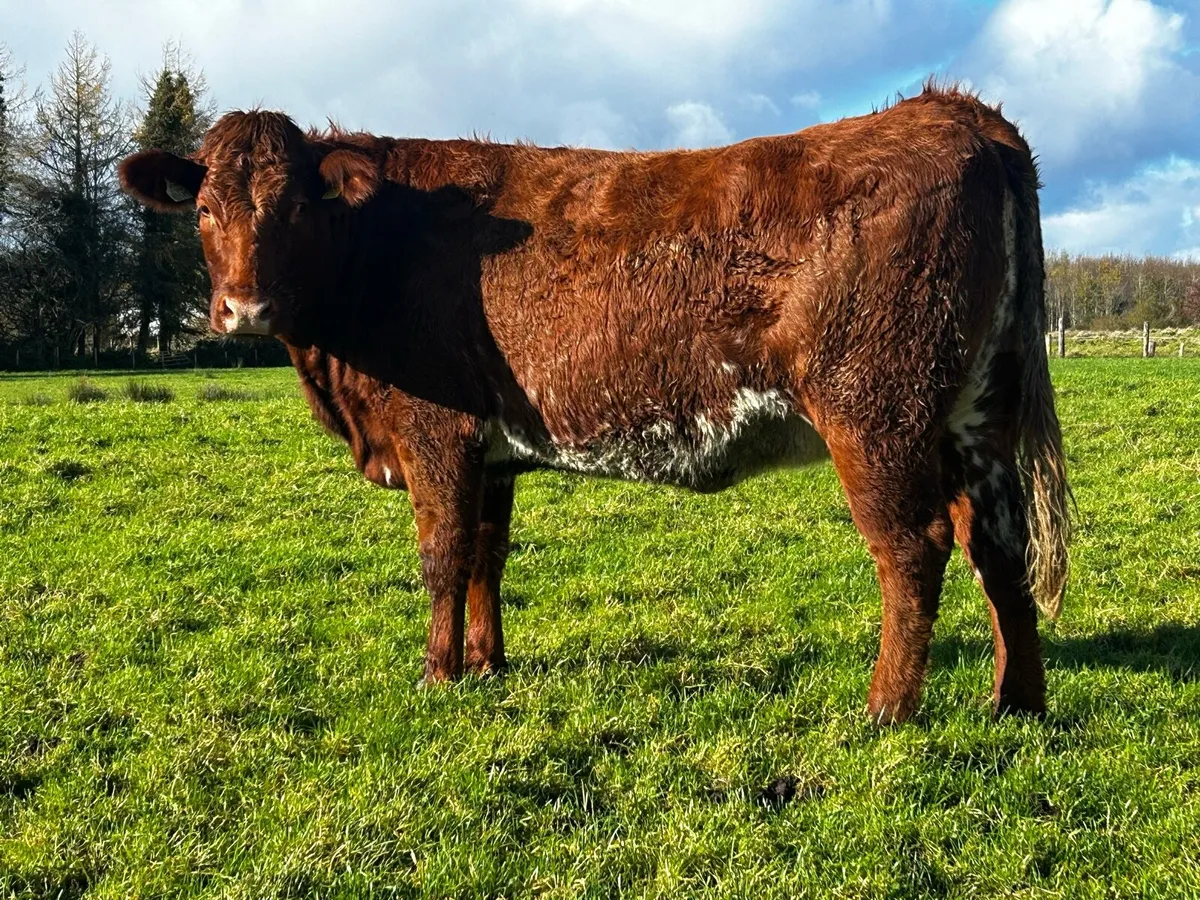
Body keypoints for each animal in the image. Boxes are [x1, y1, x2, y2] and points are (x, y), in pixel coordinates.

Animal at [119, 84, 1070, 724]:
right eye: (204, 211)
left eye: (293, 208)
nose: (244, 308)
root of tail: (950, 110)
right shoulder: (492, 449)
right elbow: (486, 557)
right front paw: (488, 663)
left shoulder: (436, 433)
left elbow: (440, 556)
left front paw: (437, 674)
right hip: (977, 415)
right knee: (999, 545)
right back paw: (1015, 701)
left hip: (875, 415)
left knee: (913, 548)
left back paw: (886, 710)